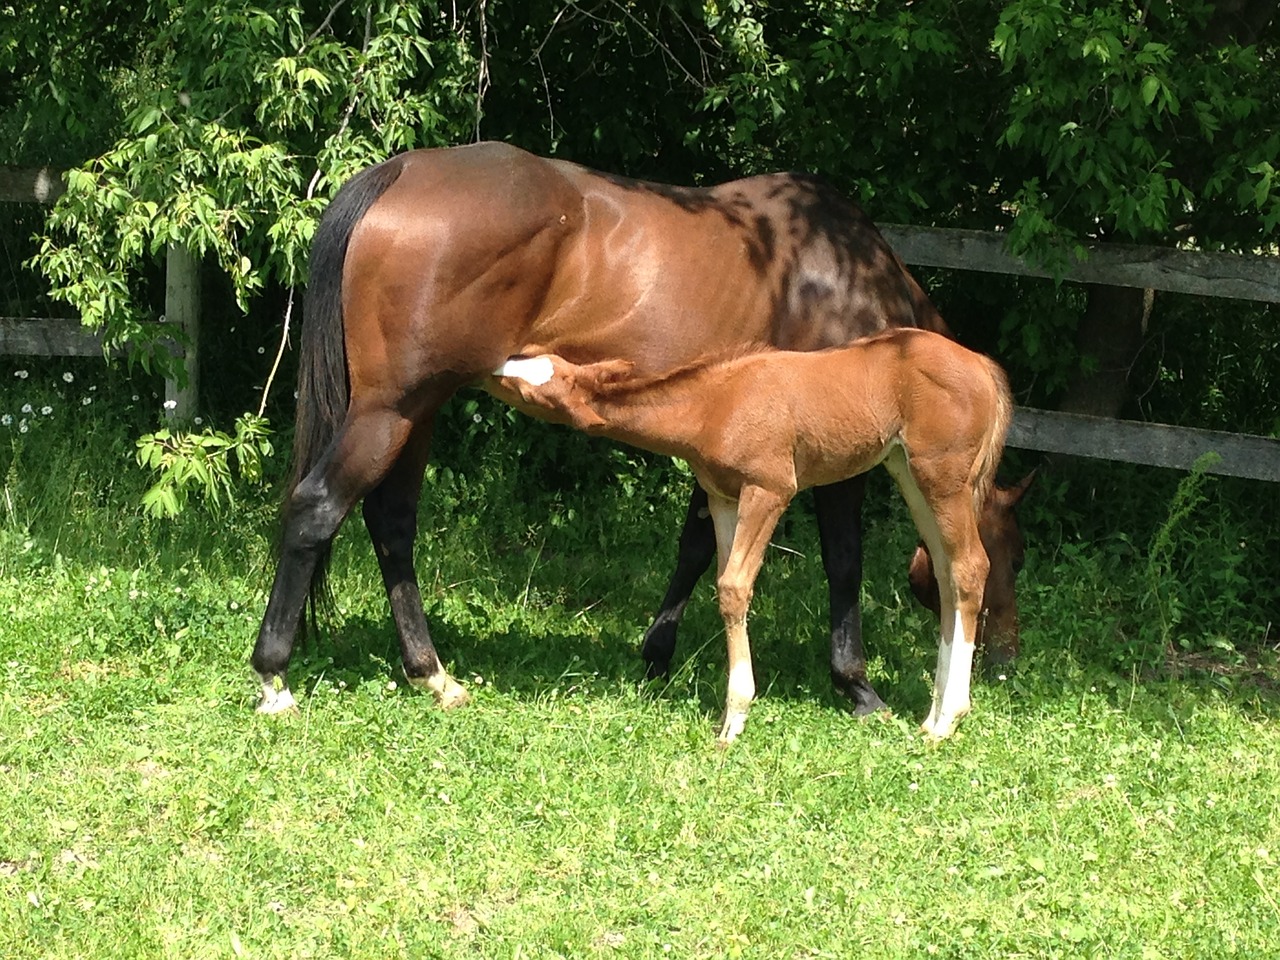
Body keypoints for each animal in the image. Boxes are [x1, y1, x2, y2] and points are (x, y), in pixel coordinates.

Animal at [494, 330, 1013, 742]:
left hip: (943, 478)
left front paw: (735, 720)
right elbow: (725, 584)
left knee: (971, 567)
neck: (714, 404)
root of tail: (983, 366)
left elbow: (734, 585)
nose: (495, 363)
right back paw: (931, 715)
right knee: (946, 572)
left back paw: (948, 719)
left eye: (537, 387)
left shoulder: (770, 488)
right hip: (909, 472)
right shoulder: (724, 498)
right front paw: (729, 716)